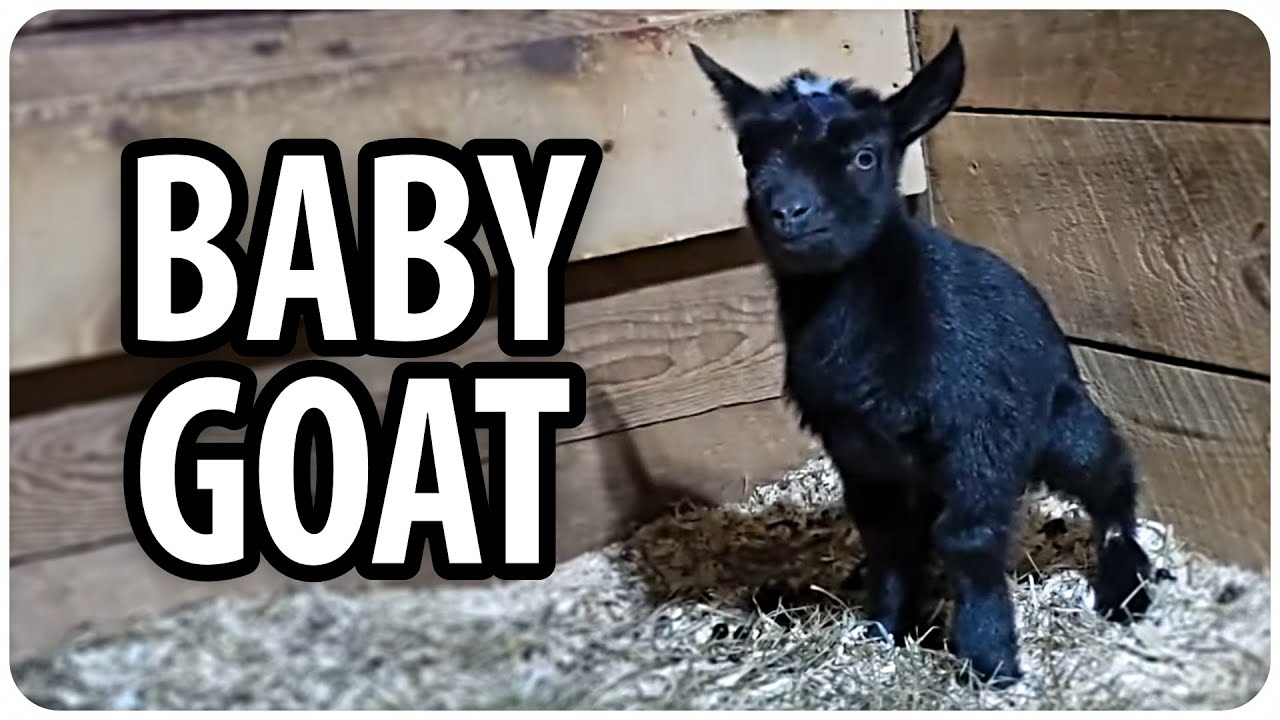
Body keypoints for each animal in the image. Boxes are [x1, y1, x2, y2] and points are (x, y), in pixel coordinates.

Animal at [689, 31, 1153, 686]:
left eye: (865, 157)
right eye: (750, 156)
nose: (789, 212)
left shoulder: (982, 425)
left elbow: (968, 536)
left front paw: (990, 657)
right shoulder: (856, 448)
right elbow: (886, 540)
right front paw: (881, 627)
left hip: (1065, 423)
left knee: (1109, 475)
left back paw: (1126, 584)